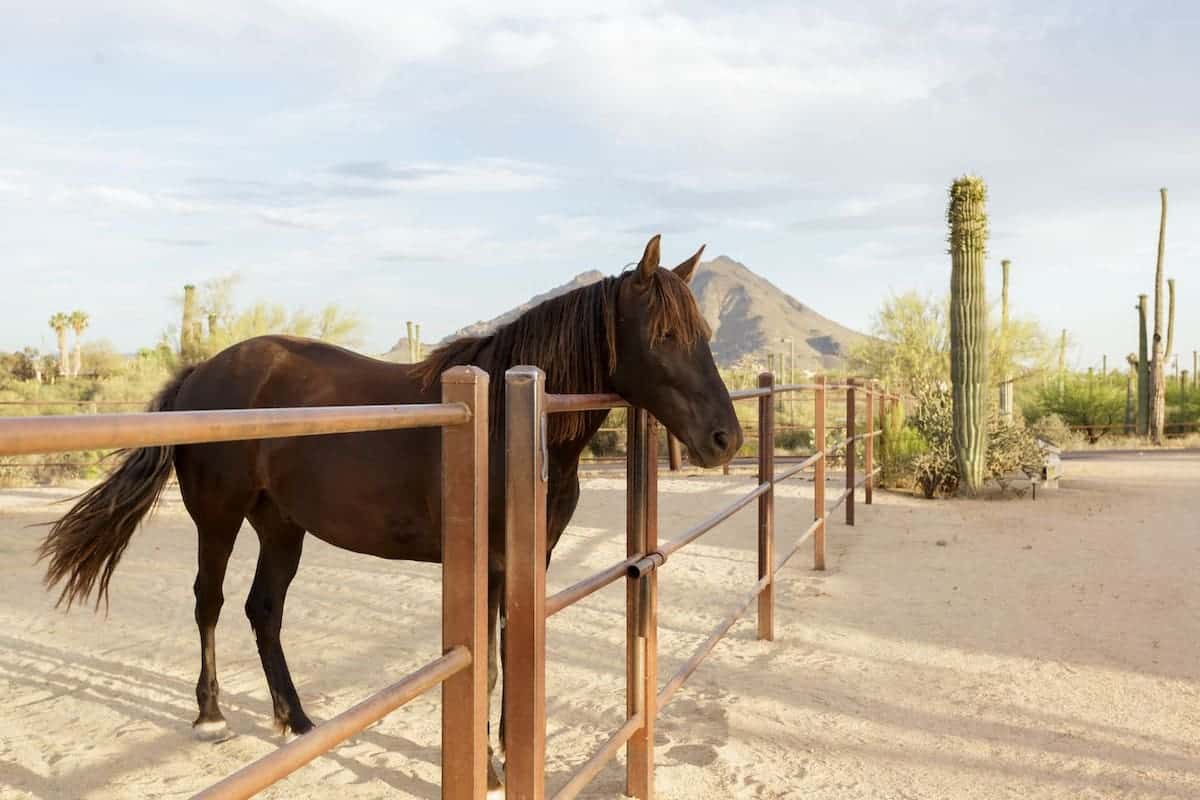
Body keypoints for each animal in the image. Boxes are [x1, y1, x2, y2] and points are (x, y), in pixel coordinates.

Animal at [38, 234, 743, 795]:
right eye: (665, 335)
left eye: (707, 337)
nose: (725, 439)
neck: (507, 423)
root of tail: (199, 375)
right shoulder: (489, 565)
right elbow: (488, 664)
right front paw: (490, 765)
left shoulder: (528, 562)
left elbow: (519, 654)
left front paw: (512, 753)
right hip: (218, 520)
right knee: (209, 603)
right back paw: (211, 716)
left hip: (281, 527)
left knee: (262, 611)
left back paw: (298, 721)